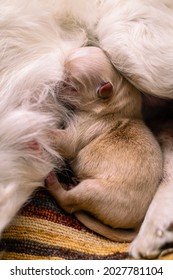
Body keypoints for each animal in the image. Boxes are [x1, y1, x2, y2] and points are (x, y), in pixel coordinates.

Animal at [46, 46, 163, 243]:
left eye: (71, 86)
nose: (50, 84)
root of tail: (138, 226)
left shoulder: (76, 133)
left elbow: (61, 139)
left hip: (93, 190)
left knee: (68, 202)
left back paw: (54, 183)